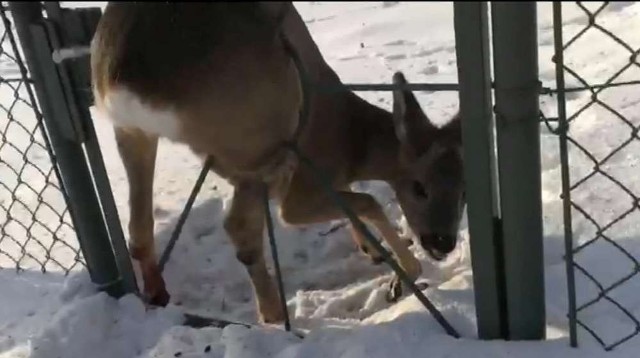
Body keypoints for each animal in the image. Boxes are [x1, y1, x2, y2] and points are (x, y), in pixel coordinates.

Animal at [91, 0, 464, 324]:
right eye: (419, 187)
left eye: (465, 190)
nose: (443, 242)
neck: (349, 140)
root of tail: (125, 78)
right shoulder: (303, 186)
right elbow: (367, 200)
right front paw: (404, 275)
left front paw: (372, 251)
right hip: (265, 141)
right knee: (239, 228)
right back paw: (274, 315)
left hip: (134, 132)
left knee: (140, 229)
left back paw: (158, 296)